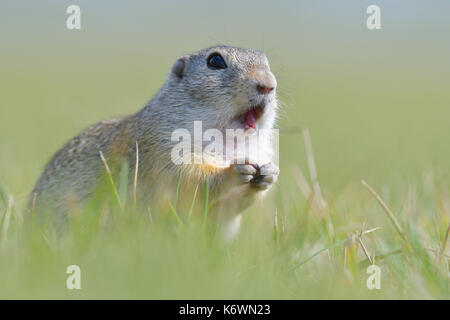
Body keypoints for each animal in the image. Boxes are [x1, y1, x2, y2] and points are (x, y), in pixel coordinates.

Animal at [30, 45, 278, 238]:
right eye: (215, 61)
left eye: (266, 61)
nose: (268, 84)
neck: (229, 142)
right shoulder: (165, 152)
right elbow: (190, 181)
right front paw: (233, 172)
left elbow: (229, 207)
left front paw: (269, 174)